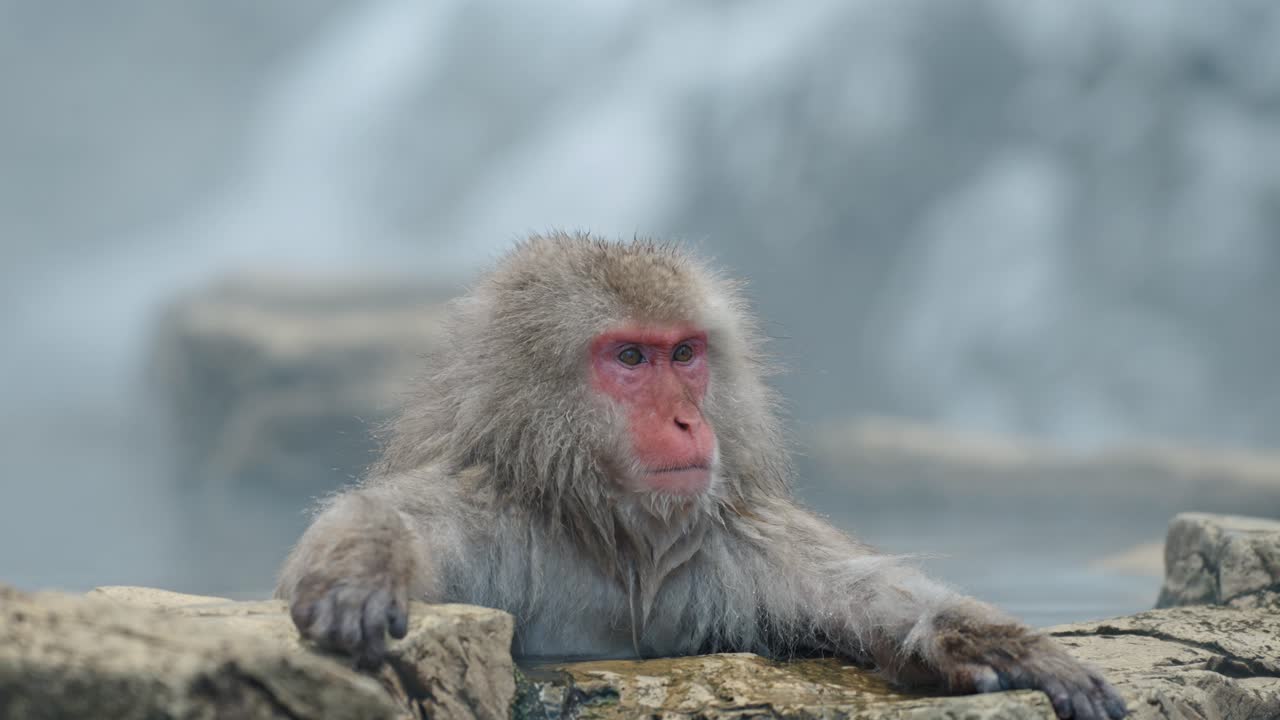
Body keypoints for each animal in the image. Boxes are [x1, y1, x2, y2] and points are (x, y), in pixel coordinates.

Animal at [276, 233, 1127, 720]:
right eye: (630, 357)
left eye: (685, 353)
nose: (689, 420)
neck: (613, 537)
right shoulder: (491, 510)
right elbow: (403, 519)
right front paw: (362, 570)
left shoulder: (742, 544)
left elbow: (869, 601)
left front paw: (992, 646)